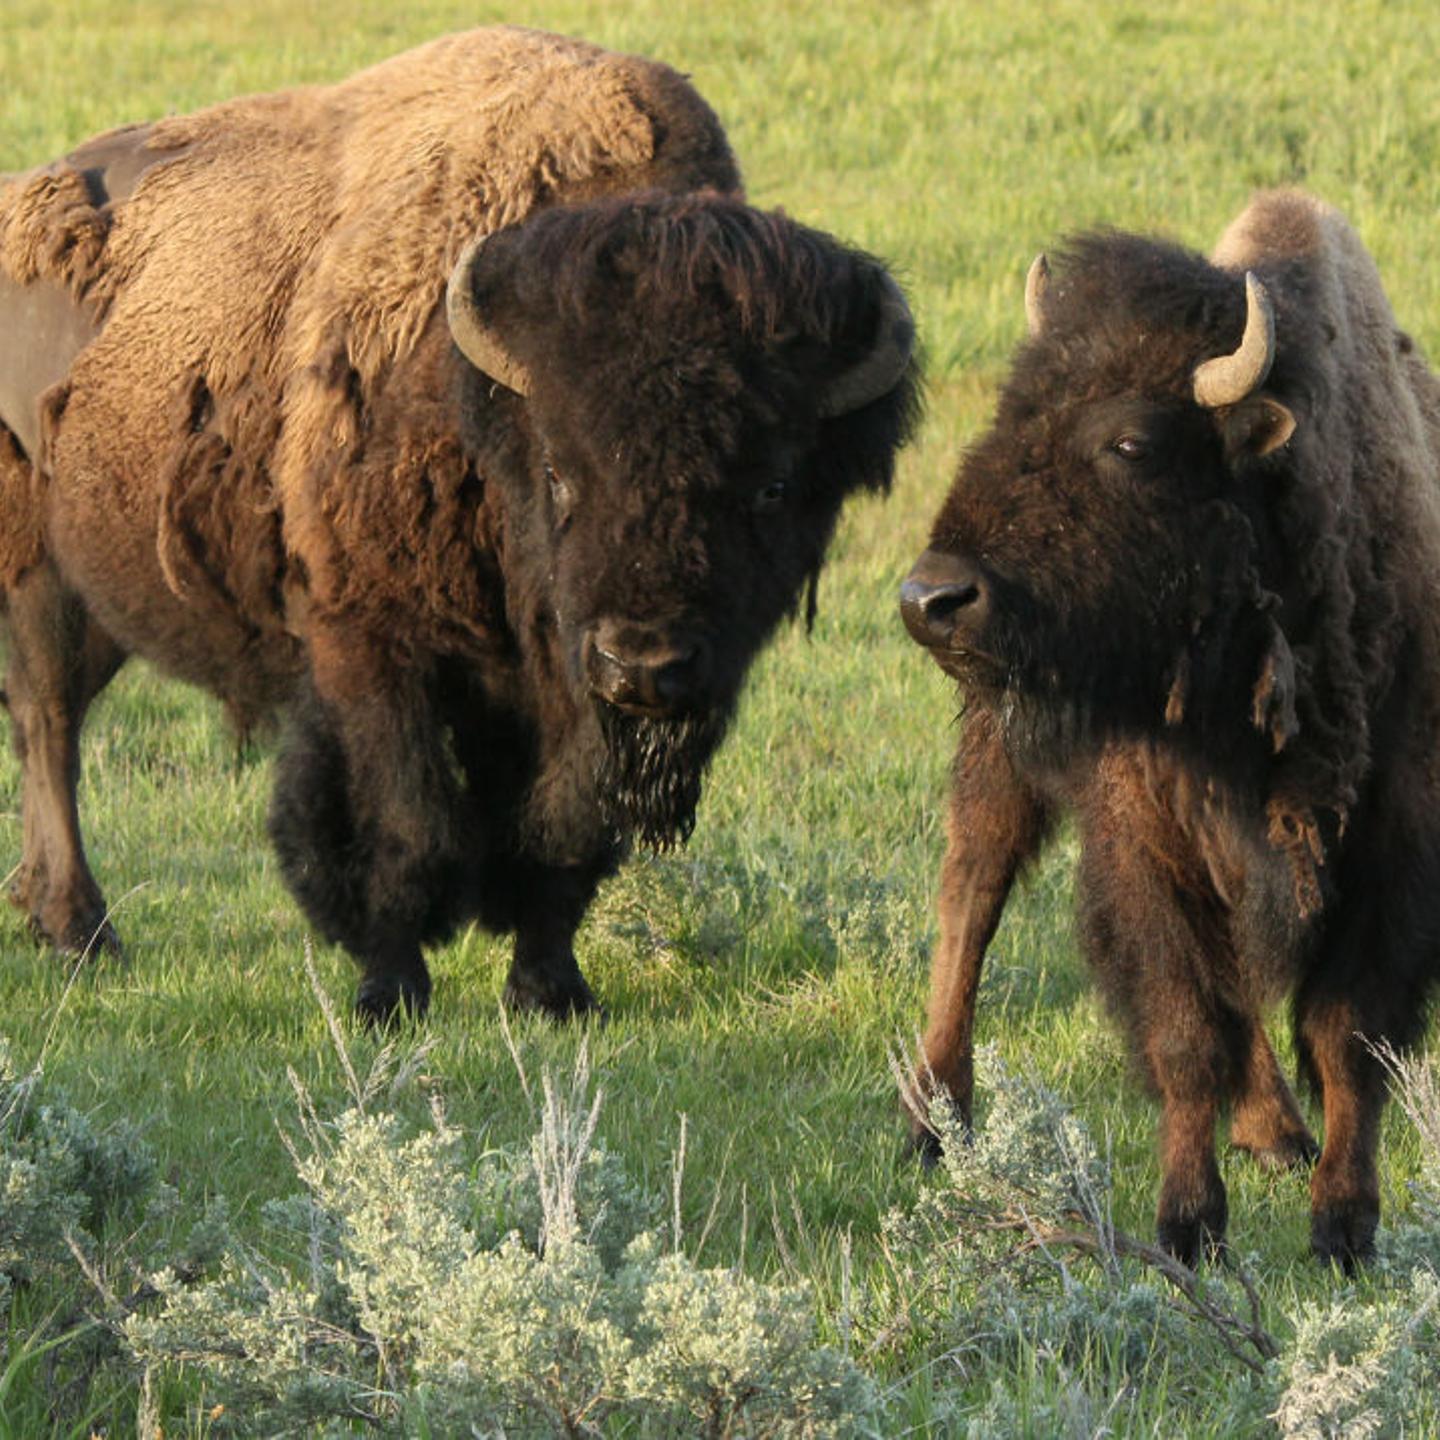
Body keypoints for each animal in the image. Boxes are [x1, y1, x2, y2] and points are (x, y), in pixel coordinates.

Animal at [0, 28, 917, 1022]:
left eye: (775, 486)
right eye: (559, 471)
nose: (641, 664)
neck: (480, 402)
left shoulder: (557, 698)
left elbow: (566, 834)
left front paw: (552, 991)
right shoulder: (373, 649)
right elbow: (408, 822)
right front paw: (388, 992)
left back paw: (45, 916)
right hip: (38, 574)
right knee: (50, 726)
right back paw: (81, 931)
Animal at [901, 189, 1440, 1269]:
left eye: (1132, 443)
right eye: (1010, 411)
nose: (932, 598)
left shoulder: (1390, 843)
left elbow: (1346, 1032)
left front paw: (1343, 1225)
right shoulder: (1147, 845)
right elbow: (1189, 1034)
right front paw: (1189, 1227)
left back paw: (1275, 1132)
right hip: (996, 753)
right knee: (970, 895)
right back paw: (936, 1121)